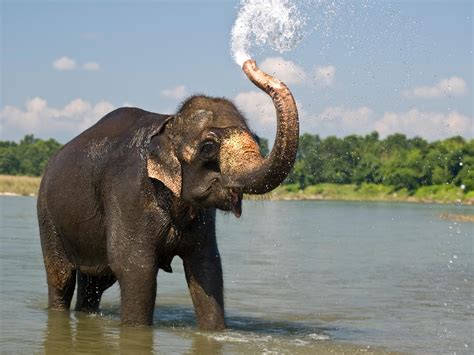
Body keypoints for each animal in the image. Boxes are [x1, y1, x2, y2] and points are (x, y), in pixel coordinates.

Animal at [37, 59, 298, 330]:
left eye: (256, 138)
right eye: (208, 147)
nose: (249, 63)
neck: (168, 124)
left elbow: (207, 266)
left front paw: (215, 332)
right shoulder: (128, 191)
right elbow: (135, 267)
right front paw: (136, 332)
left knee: (95, 283)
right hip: (47, 214)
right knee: (61, 278)